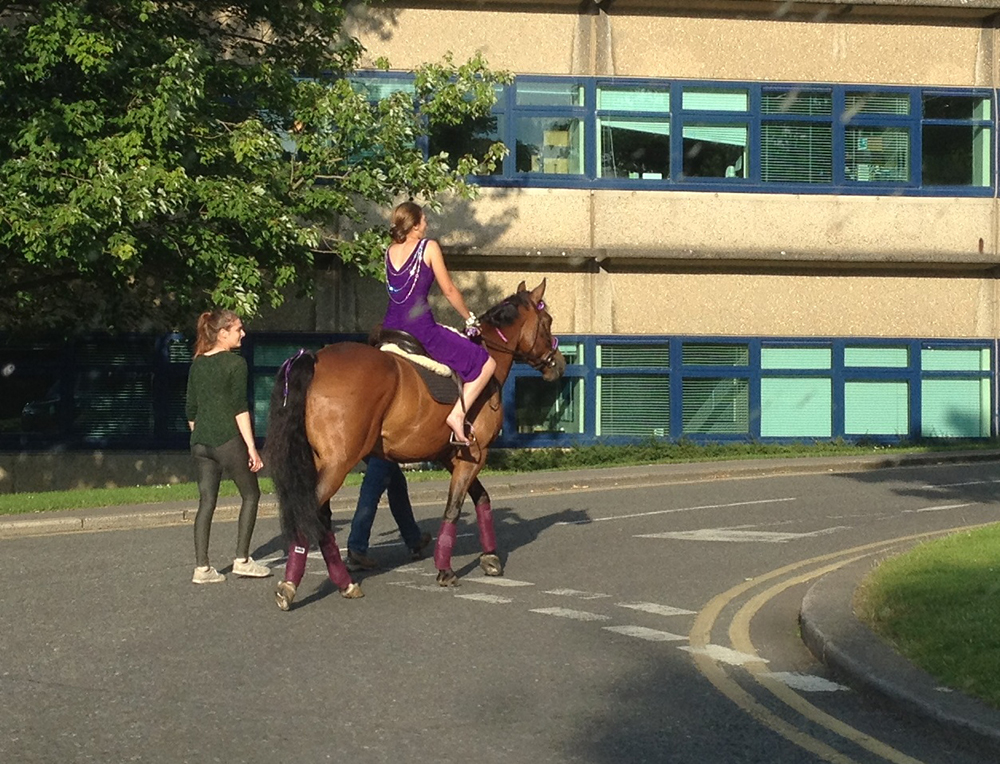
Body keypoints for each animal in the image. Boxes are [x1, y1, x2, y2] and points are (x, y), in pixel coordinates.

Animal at [264, 278, 564, 604]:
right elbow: (454, 508)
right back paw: (292, 584)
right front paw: (445, 569)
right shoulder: (475, 453)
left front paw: (489, 556)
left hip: (324, 462)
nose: (559, 364)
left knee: (320, 519)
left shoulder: (453, 456)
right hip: (338, 464)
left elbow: (481, 498)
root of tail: (314, 358)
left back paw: (344, 581)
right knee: (306, 514)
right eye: (548, 322)